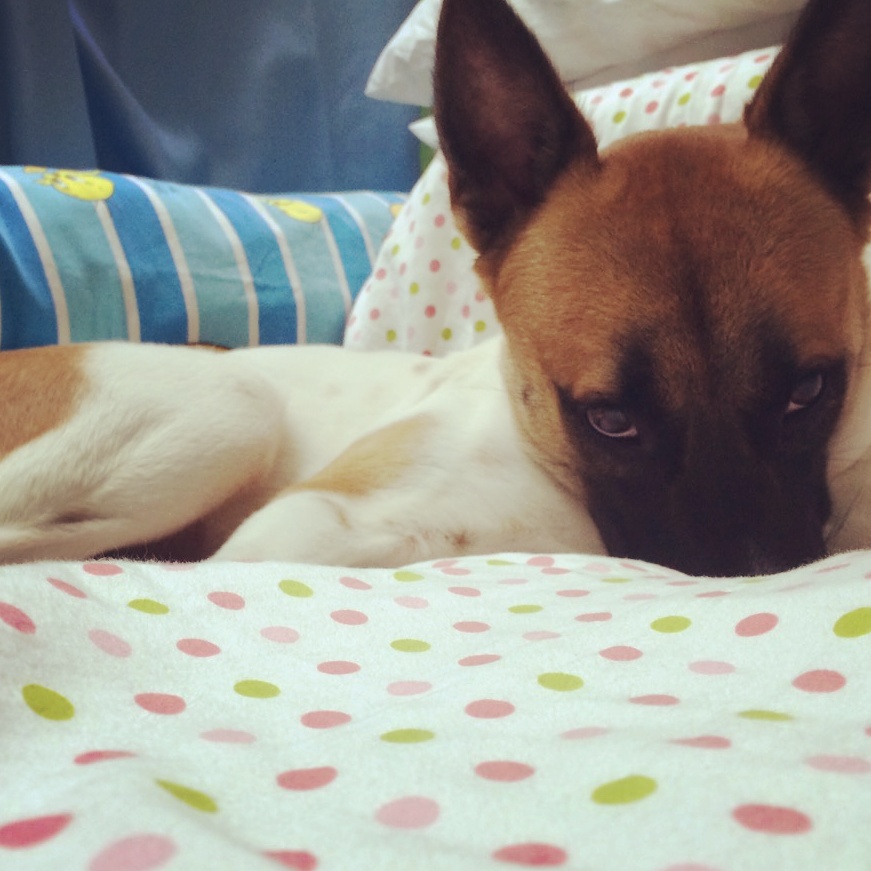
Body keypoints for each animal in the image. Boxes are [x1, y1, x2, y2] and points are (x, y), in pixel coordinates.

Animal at [1, 0, 871, 577]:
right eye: (608, 418)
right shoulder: (291, 528)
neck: (547, 470)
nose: (758, 571)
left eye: (809, 390)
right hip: (226, 405)